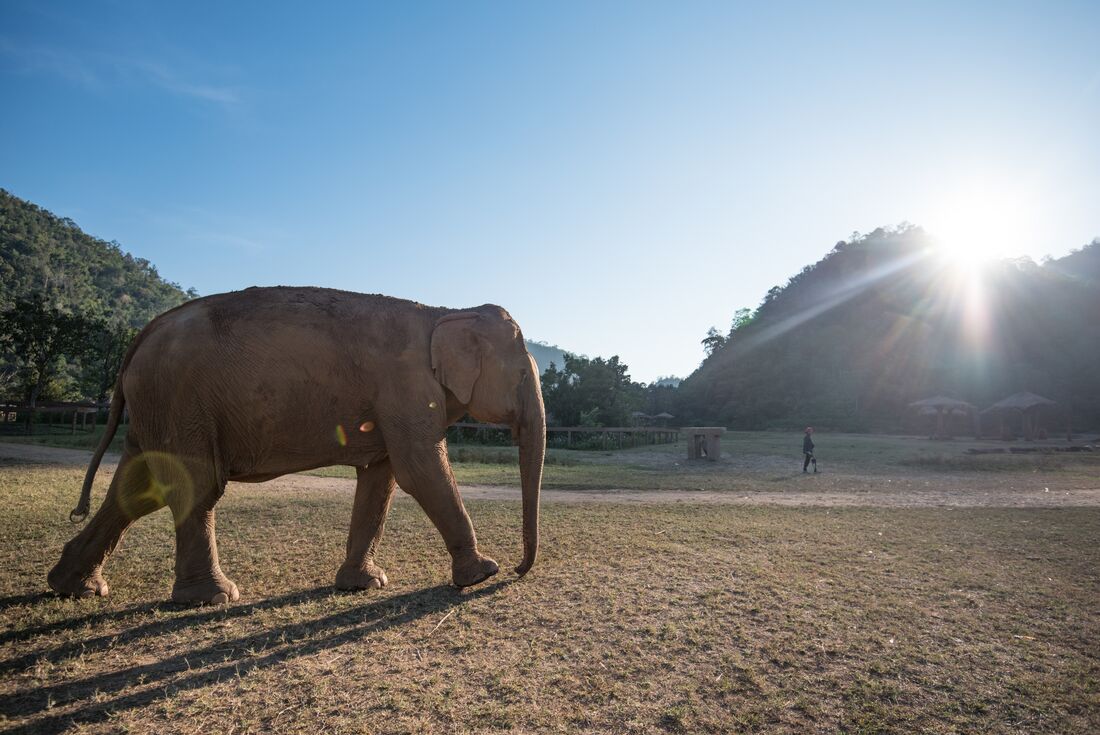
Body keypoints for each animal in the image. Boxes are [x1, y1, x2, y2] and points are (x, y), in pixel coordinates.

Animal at [47, 287, 545, 604]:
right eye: (523, 375)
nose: (519, 570)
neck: (445, 311)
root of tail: (141, 336)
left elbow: (381, 479)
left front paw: (364, 585)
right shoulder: (404, 386)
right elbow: (419, 469)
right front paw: (482, 574)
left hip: (156, 407)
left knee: (137, 491)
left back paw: (75, 587)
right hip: (178, 400)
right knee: (196, 485)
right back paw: (213, 597)